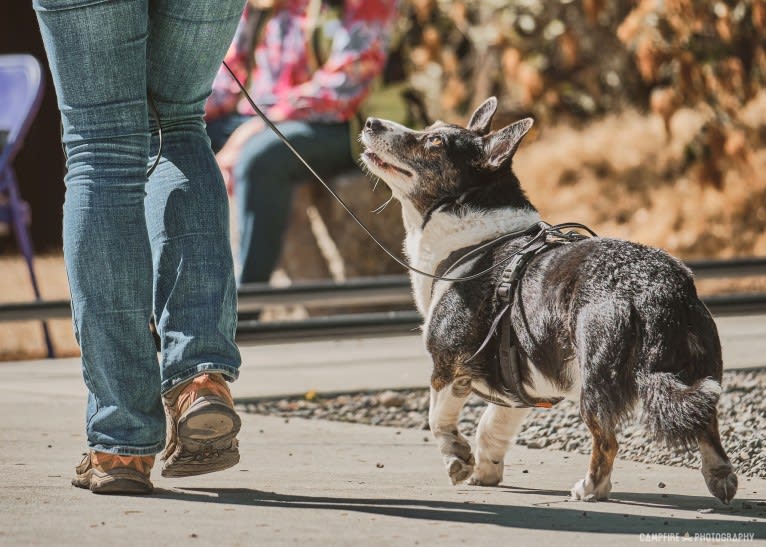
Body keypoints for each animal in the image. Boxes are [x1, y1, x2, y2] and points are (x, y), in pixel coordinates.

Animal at [364, 98, 740, 506]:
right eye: (430, 128)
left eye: (433, 142)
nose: (369, 122)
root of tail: (653, 288)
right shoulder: (518, 388)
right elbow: (490, 426)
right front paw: (485, 472)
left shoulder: (448, 367)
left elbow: (438, 419)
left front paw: (458, 460)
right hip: (698, 369)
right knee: (706, 422)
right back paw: (720, 477)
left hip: (594, 381)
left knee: (606, 440)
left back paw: (590, 488)